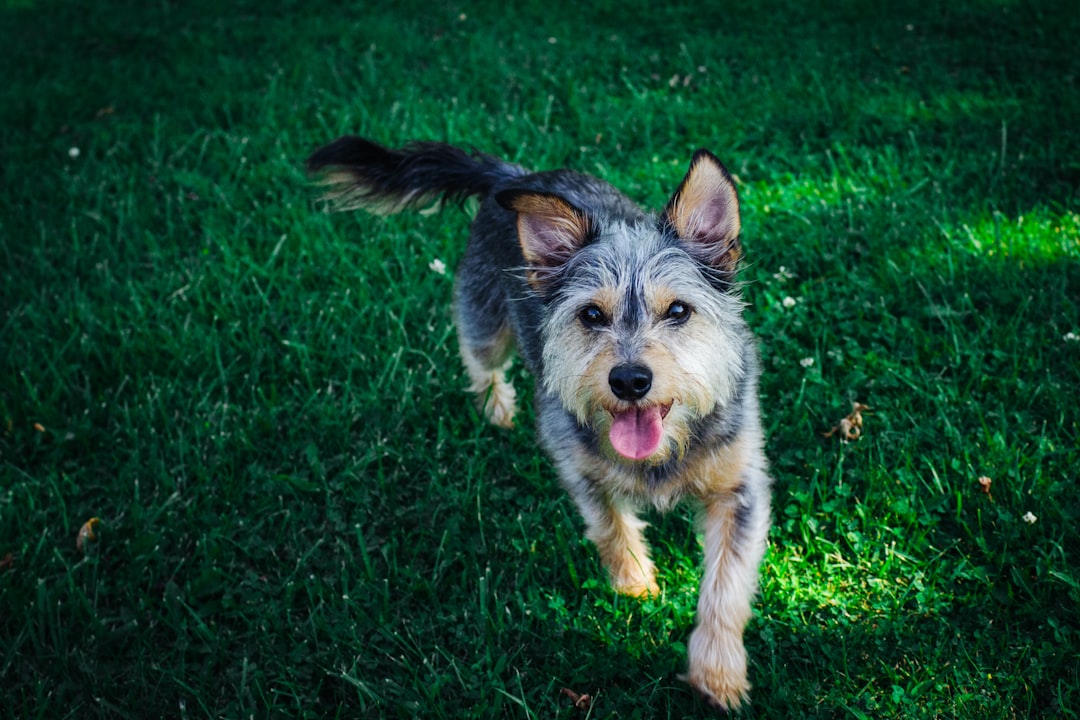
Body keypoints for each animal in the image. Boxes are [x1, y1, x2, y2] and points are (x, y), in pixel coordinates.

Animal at [308, 136, 773, 708]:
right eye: (591, 315)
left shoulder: (740, 490)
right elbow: (610, 529)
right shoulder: (580, 472)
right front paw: (636, 585)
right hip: (484, 319)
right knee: (478, 360)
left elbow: (724, 587)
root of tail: (515, 178)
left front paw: (717, 672)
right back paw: (497, 412)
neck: (662, 453)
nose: (629, 380)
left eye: (679, 311)